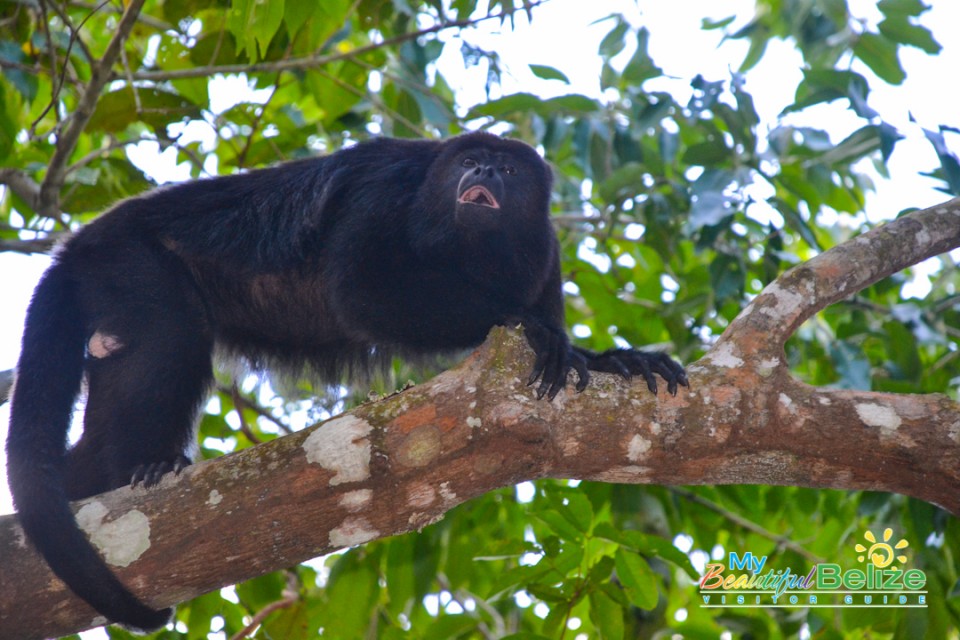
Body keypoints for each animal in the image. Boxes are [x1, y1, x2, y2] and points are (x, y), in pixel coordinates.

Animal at [3, 132, 688, 632]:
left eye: (509, 170)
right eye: (470, 160)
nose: (486, 173)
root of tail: (76, 247)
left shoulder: (544, 254)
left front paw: (612, 358)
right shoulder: (383, 190)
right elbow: (362, 290)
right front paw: (548, 335)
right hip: (130, 264)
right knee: (176, 332)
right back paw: (144, 466)